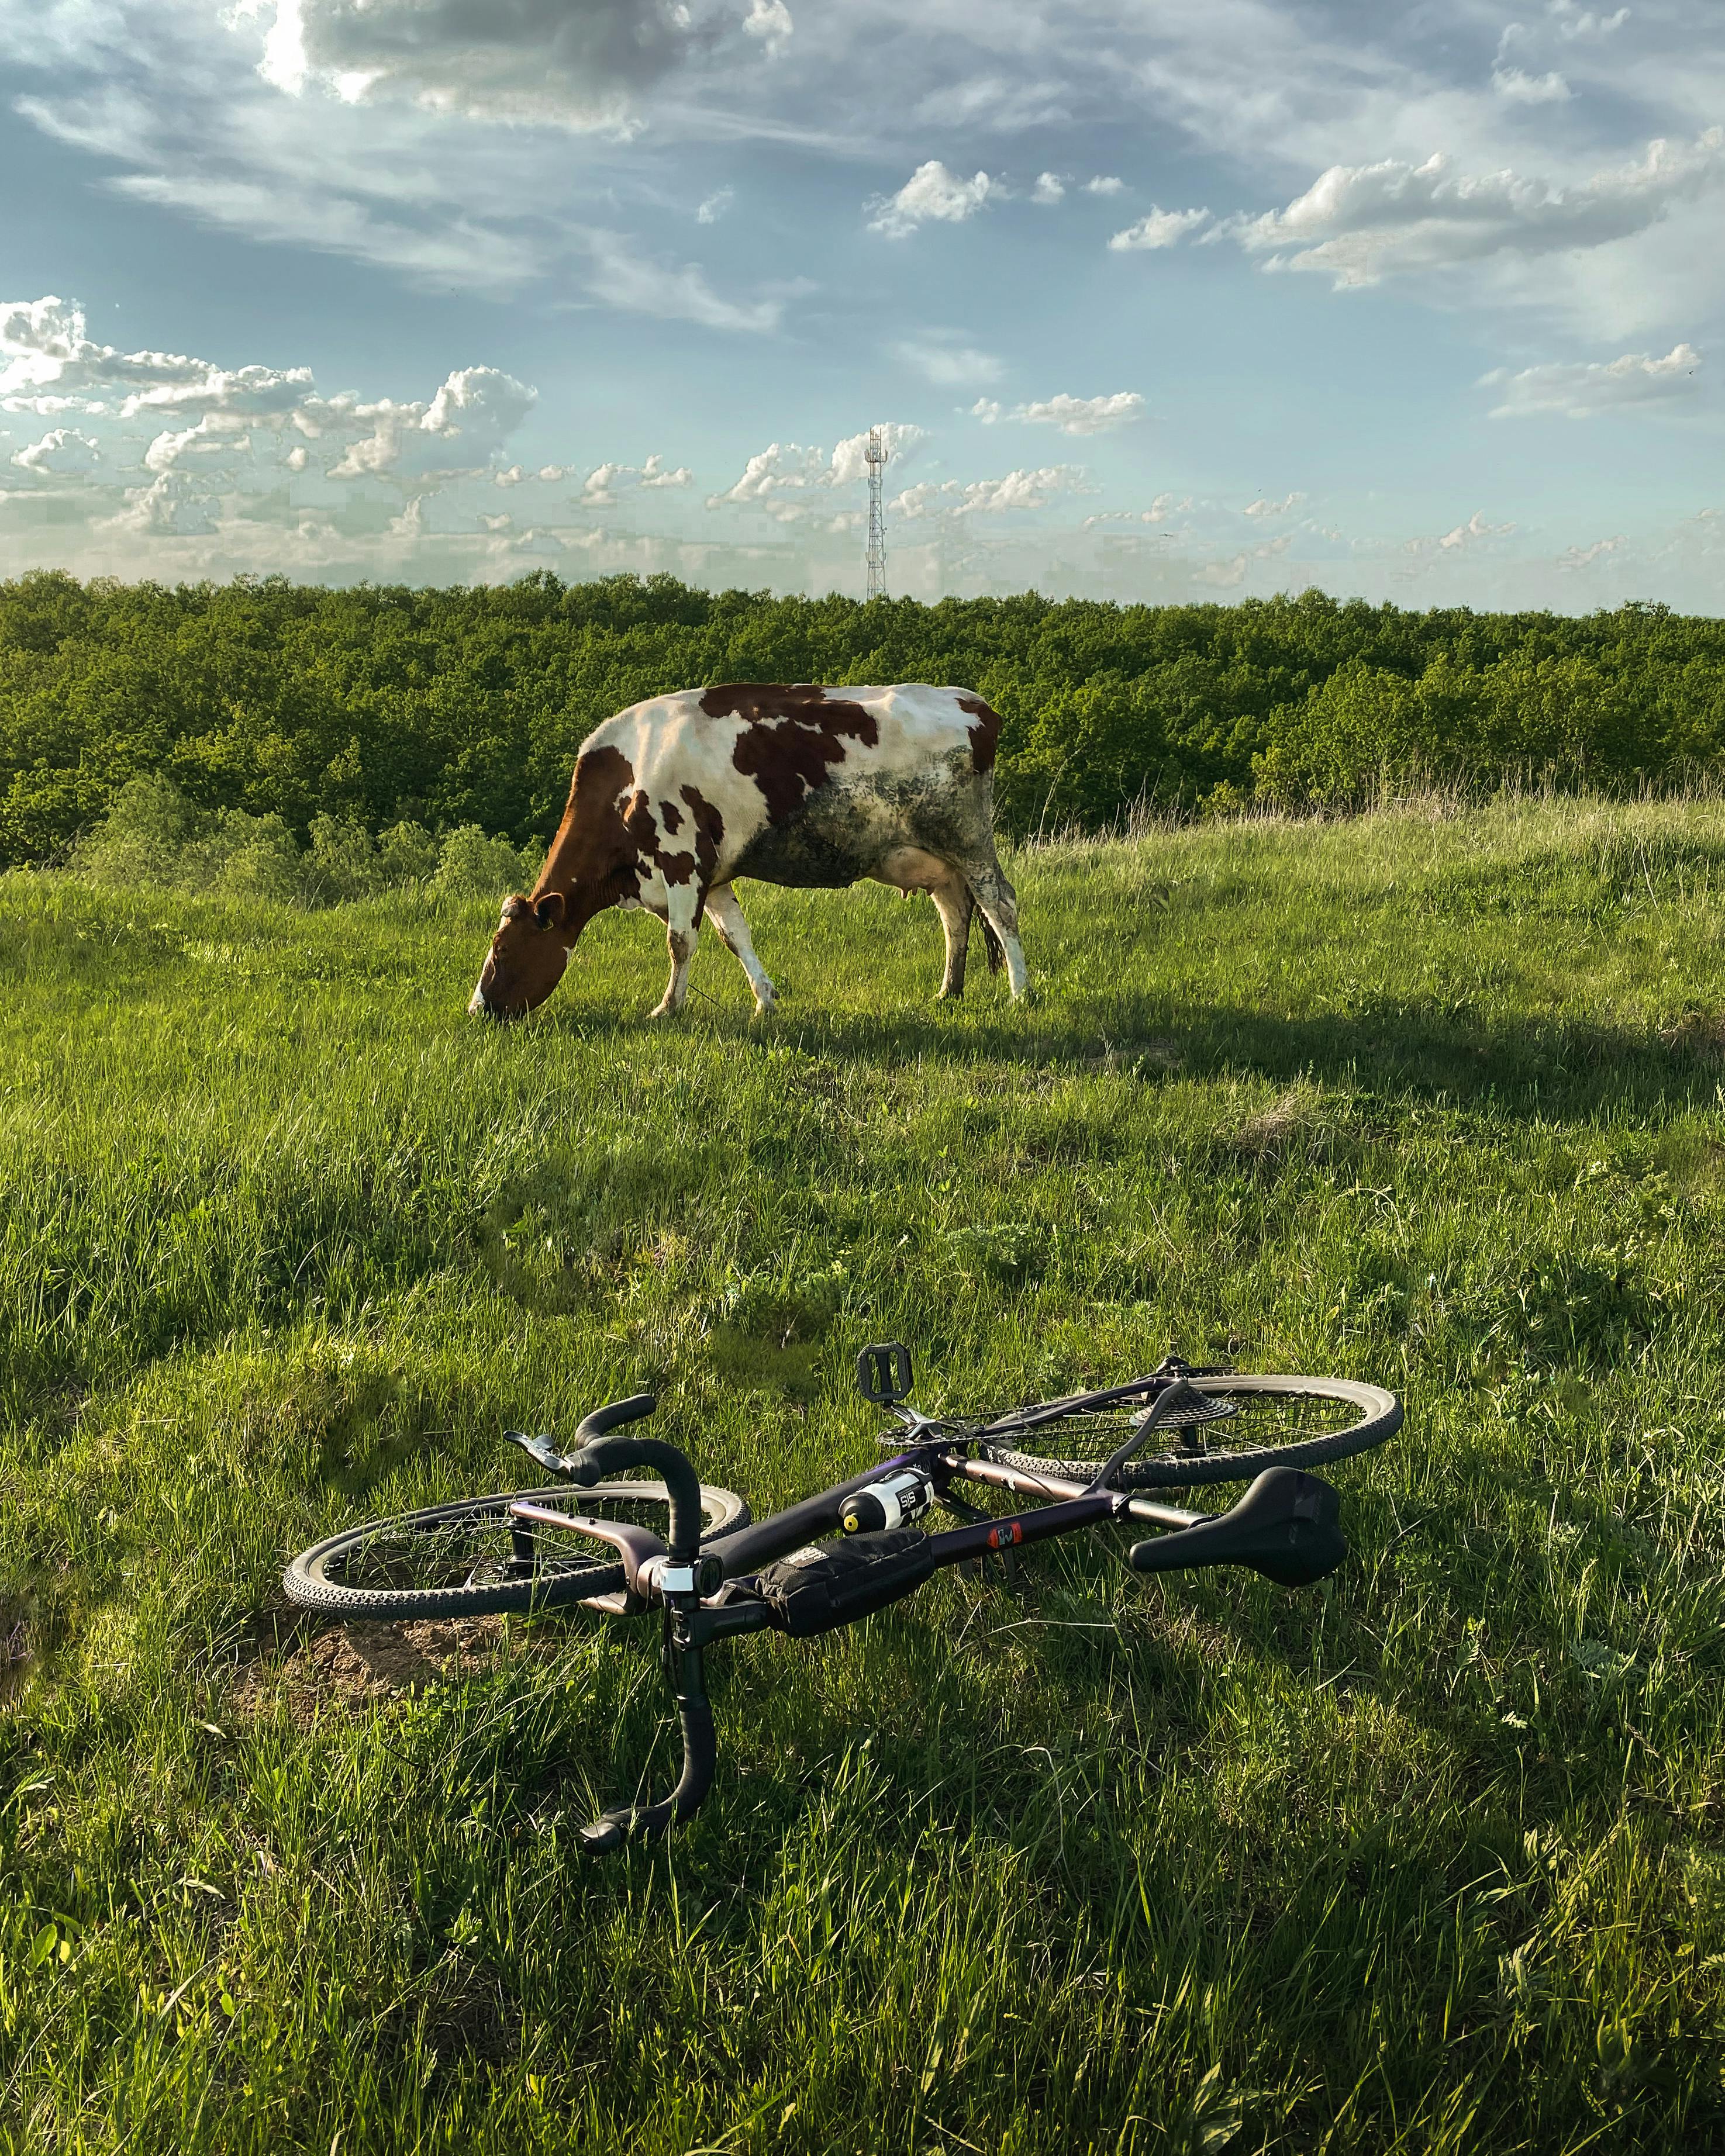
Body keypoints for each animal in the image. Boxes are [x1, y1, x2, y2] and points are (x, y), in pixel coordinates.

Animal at [468, 681, 1026, 1017]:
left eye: (501, 950)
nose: (476, 1010)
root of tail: (973, 703)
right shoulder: (712, 879)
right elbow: (736, 937)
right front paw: (765, 1002)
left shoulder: (683, 864)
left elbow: (680, 943)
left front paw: (668, 1009)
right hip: (935, 858)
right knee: (954, 913)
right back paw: (948, 991)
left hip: (968, 838)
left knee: (1000, 904)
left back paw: (1022, 992)